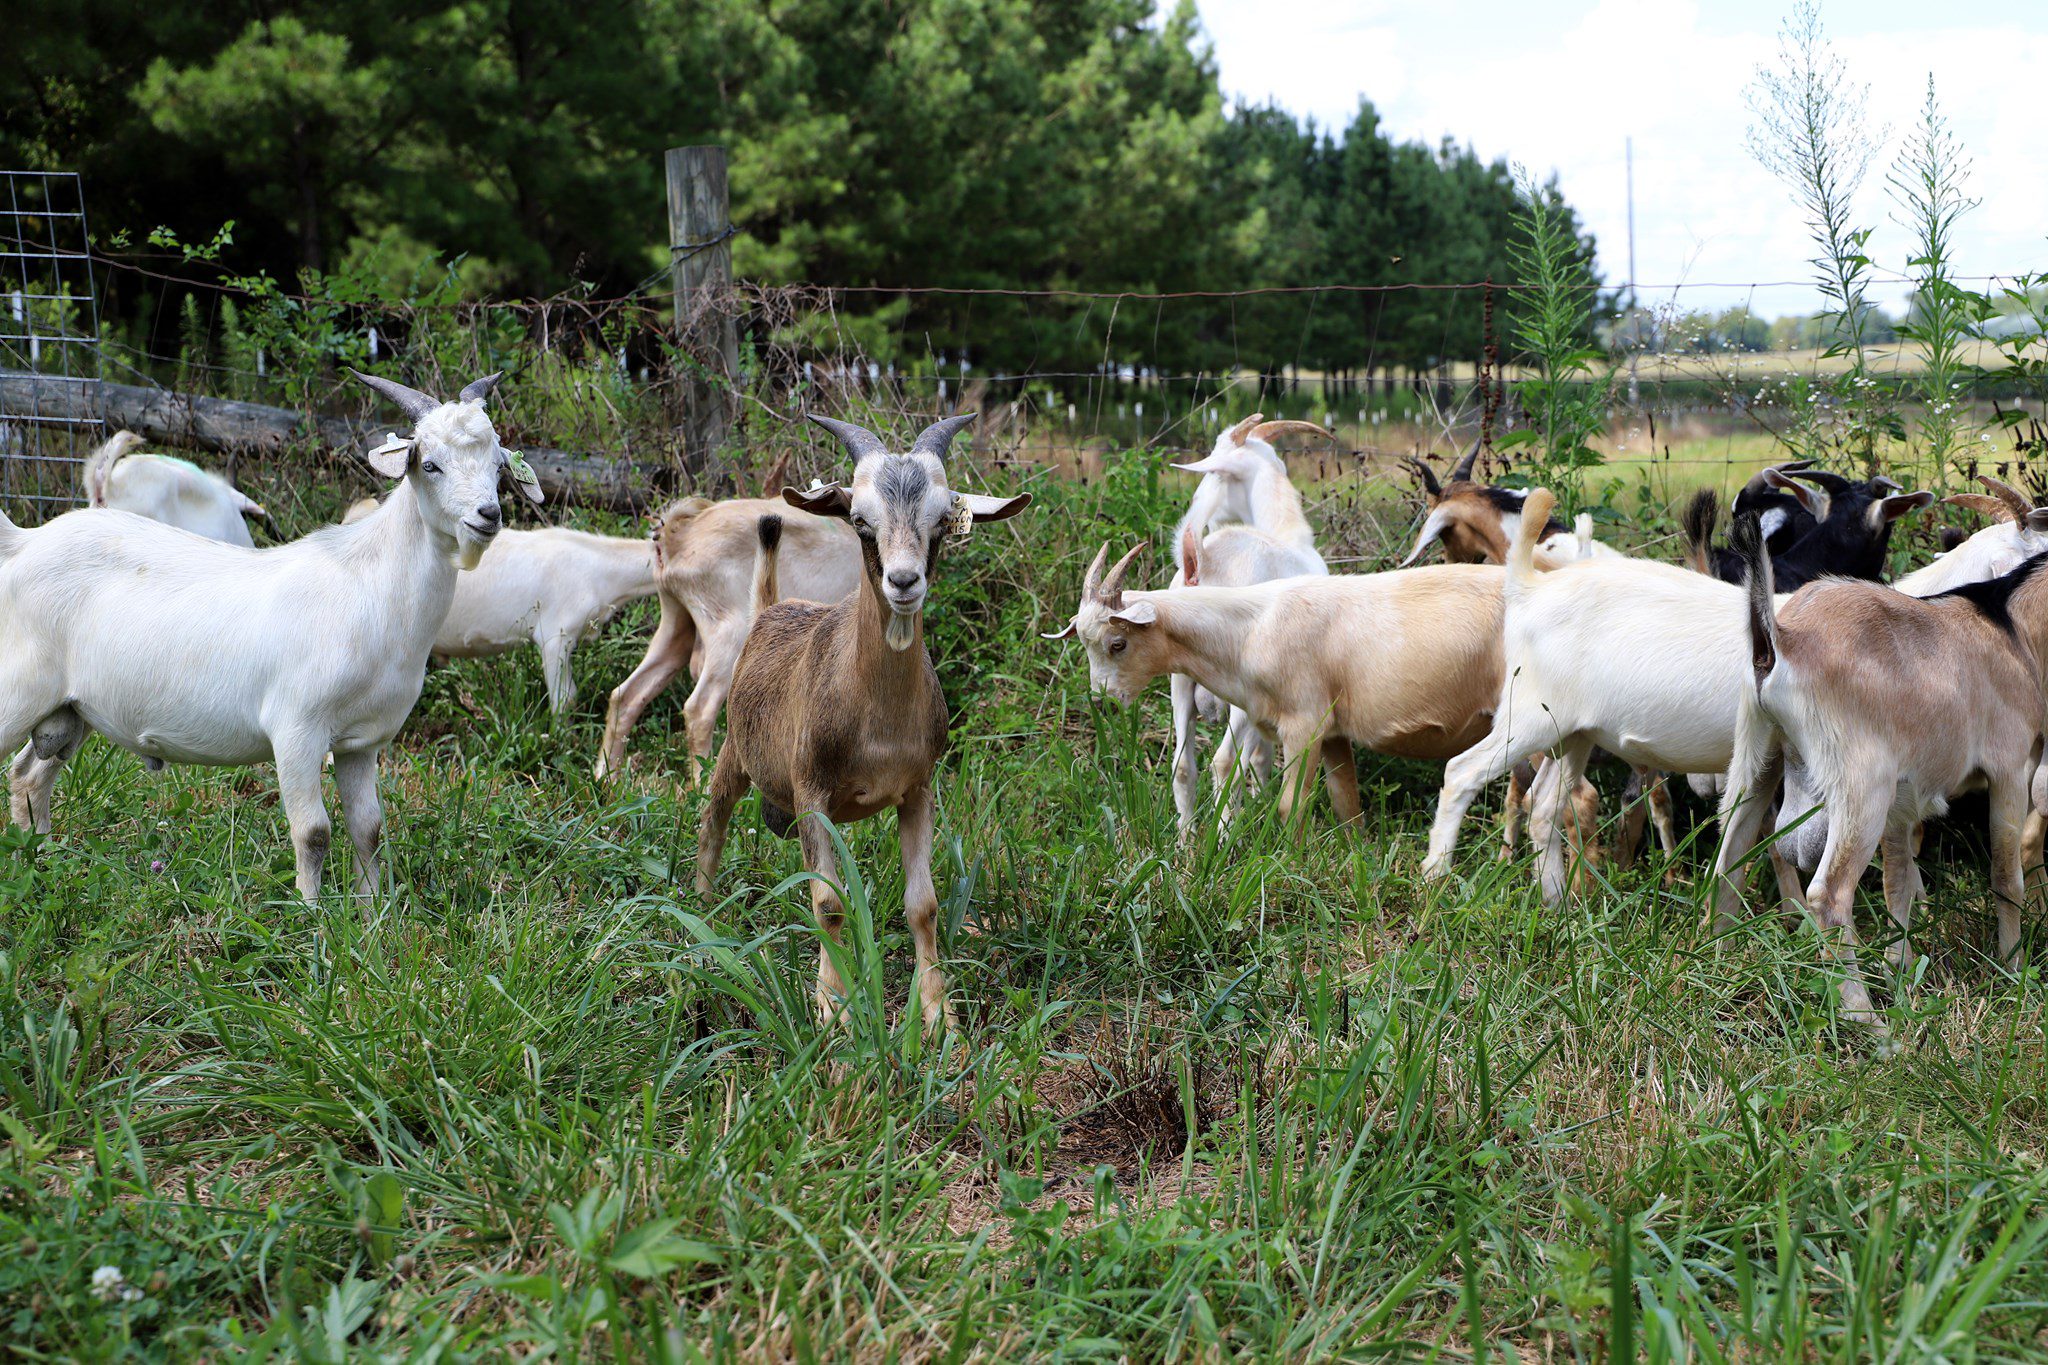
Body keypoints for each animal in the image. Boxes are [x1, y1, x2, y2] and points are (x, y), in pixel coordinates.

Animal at [696, 415, 1031, 1029]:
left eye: (942, 520)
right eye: (860, 520)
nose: (904, 582)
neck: (877, 723)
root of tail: (772, 608)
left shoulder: (918, 789)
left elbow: (922, 906)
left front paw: (940, 1018)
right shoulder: (811, 790)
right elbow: (828, 903)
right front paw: (834, 1011)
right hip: (736, 749)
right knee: (715, 817)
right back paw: (704, 915)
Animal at [1424, 479, 1933, 904]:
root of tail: (1528, 589)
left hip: (1572, 732)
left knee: (1544, 806)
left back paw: (1556, 902)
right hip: (1527, 717)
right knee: (1462, 773)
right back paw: (1436, 877)